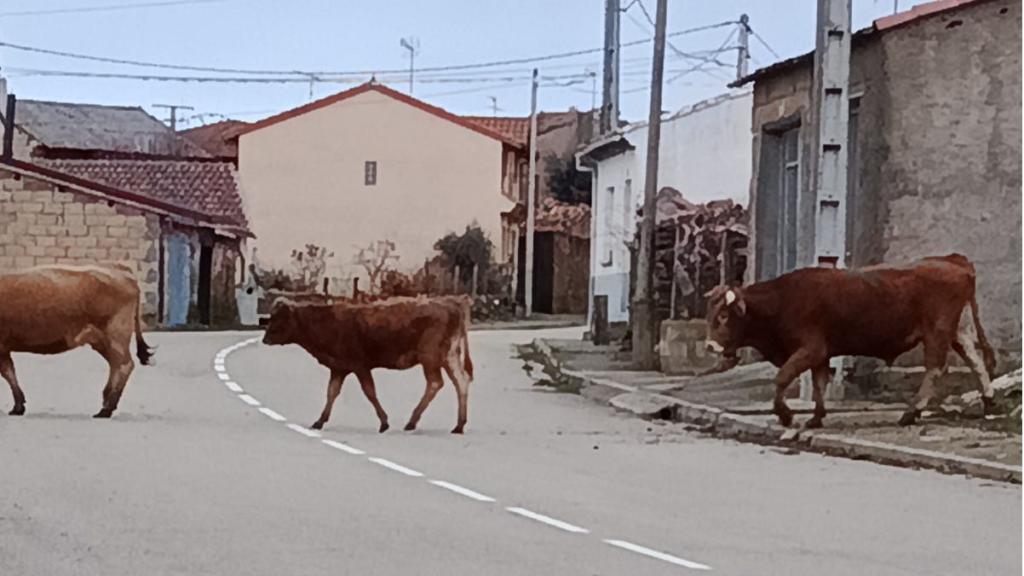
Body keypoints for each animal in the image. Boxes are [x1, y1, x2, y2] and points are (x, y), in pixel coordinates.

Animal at [0, 264, 154, 418]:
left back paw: (106, 409)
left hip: (115, 337)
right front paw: (18, 407)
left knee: (123, 365)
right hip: (103, 342)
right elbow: (9, 372)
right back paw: (105, 402)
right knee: (115, 365)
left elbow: (7, 374)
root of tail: (121, 272)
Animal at [261, 295, 474, 433]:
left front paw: (384, 423)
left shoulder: (360, 366)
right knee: (461, 382)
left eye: (280, 318)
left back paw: (412, 422)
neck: (329, 323)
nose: (265, 338)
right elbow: (332, 392)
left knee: (435, 383)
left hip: (430, 358)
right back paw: (459, 425)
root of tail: (451, 303)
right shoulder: (339, 368)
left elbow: (369, 391)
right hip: (449, 357)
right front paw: (320, 421)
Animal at [703, 254, 997, 428]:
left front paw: (786, 415)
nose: (709, 346)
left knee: (936, 368)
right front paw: (816, 417)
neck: (782, 299)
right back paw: (988, 401)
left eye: (724, 316)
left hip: (937, 331)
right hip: (957, 330)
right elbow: (819, 384)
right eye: (710, 314)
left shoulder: (811, 348)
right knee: (975, 360)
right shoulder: (821, 354)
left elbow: (783, 377)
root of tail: (952, 260)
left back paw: (911, 412)